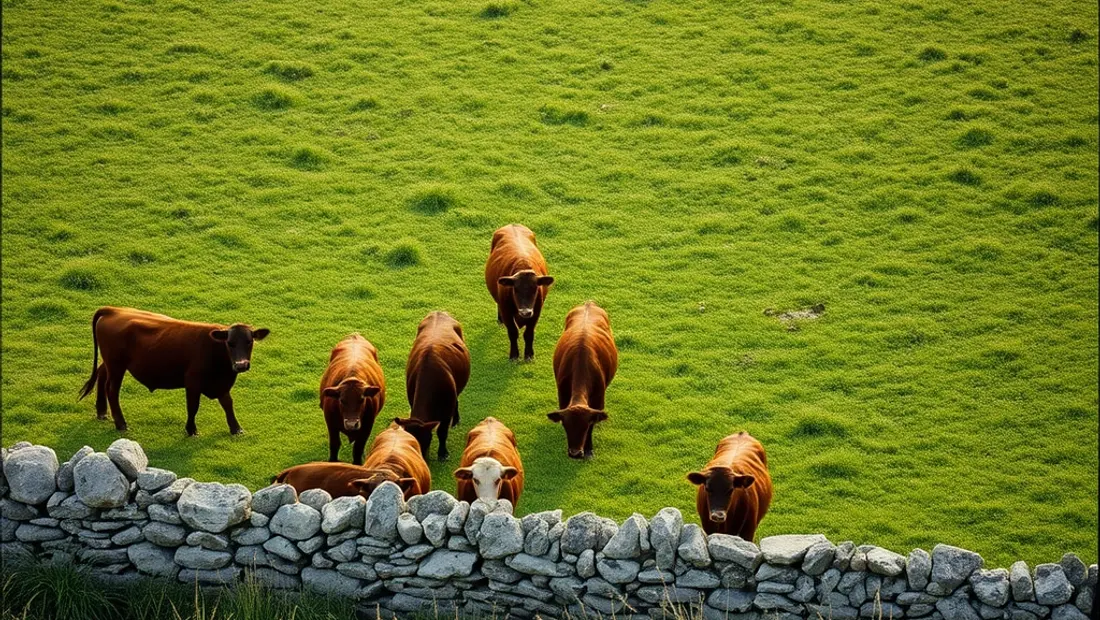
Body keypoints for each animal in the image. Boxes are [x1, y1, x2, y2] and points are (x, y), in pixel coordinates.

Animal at [77, 307, 269, 435]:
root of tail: (114, 310)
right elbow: (193, 406)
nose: (241, 365)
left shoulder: (221, 384)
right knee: (112, 390)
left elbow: (228, 403)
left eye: (249, 341)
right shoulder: (192, 382)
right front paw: (191, 430)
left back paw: (102, 412)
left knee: (101, 375)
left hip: (110, 362)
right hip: (117, 365)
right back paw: (121, 423)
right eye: (230, 343)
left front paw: (236, 428)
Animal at [320, 334, 387, 465]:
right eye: (341, 400)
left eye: (362, 399)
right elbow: (335, 444)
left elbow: (358, 449)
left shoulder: (367, 427)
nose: (351, 424)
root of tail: (355, 335)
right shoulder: (330, 423)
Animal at [394, 311, 471, 461]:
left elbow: (442, 432)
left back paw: (456, 420)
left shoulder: (446, 411)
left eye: (425, 439)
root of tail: (439, 312)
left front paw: (443, 453)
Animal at [484, 224, 554, 361]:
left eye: (535, 289)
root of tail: (512, 225)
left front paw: (529, 354)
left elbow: (529, 333)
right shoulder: (506, 311)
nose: (525, 312)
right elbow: (513, 332)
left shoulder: (536, 312)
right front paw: (514, 355)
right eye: (515, 289)